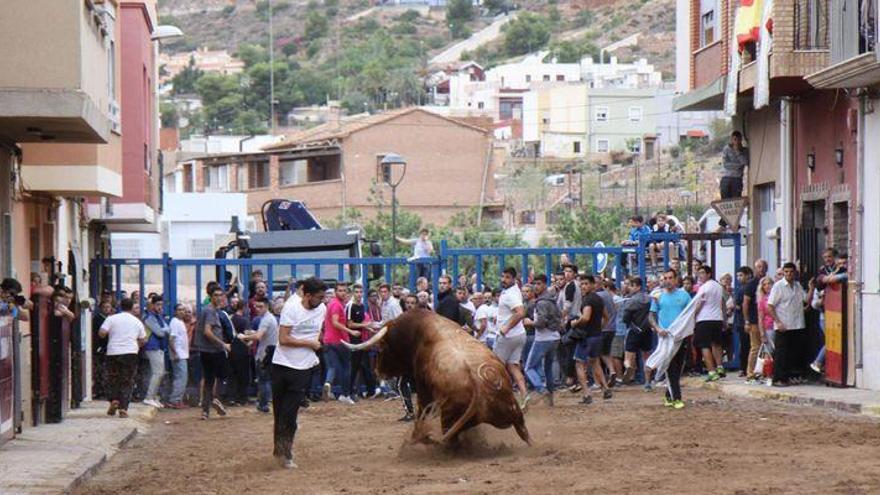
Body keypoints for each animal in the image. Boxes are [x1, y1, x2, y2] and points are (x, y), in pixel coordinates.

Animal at [346, 310, 528, 446]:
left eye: (381, 348)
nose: (377, 370)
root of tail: (479, 387)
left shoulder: (423, 389)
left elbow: (421, 411)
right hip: (512, 413)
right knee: (523, 431)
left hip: (447, 419)